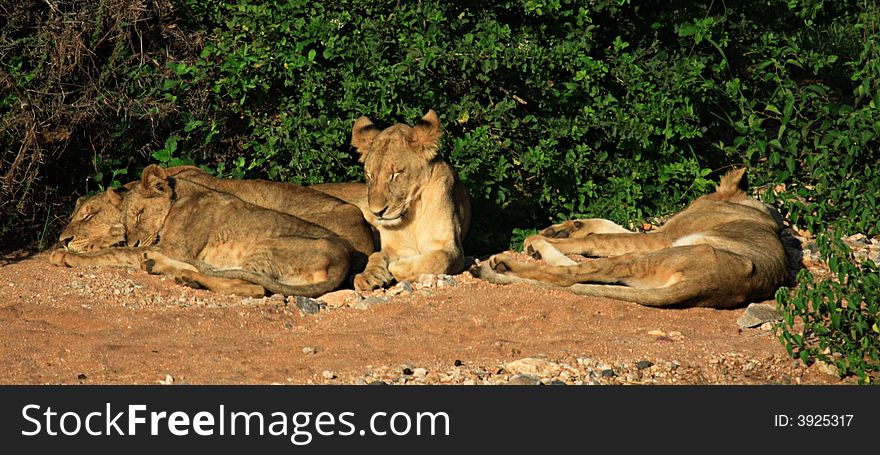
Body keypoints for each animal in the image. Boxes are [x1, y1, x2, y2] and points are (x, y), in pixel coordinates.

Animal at [52, 166, 350, 298]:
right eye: (126, 220)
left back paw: (181, 274)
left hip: (264, 248)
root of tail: (343, 261)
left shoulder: (174, 247)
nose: (133, 239)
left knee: (252, 287)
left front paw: (68, 256)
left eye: (139, 214)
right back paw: (165, 268)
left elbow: (118, 253)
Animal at [350, 108, 474, 290]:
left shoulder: (451, 248)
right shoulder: (394, 247)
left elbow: (438, 260)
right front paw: (368, 276)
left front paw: (396, 267)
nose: (377, 212)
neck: (411, 216)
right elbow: (376, 255)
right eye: (369, 175)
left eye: (396, 174)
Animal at [478, 168, 788, 310]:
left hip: (653, 255)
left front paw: (543, 237)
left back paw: (508, 260)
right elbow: (609, 226)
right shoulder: (659, 234)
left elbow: (603, 238)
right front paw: (566, 227)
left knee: (569, 275)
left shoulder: (663, 236)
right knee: (577, 271)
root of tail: (712, 284)